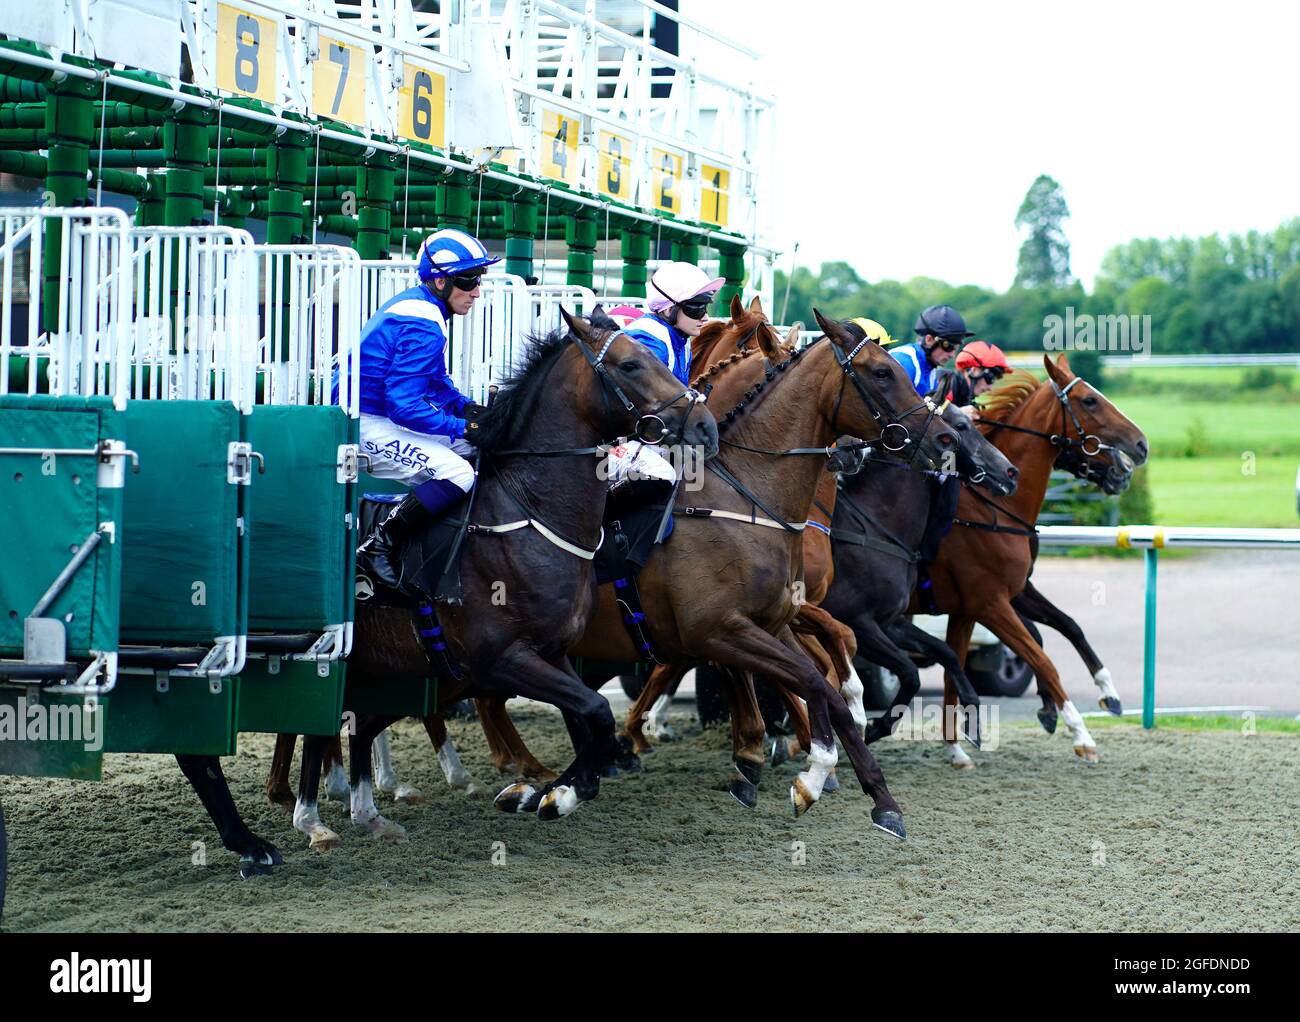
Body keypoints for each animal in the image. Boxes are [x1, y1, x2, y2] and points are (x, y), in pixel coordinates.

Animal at [291, 315, 728, 842]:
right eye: (630, 363)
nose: (705, 425)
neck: (529, 512)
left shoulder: (553, 650)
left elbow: (588, 716)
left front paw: (557, 789)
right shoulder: (500, 659)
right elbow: (595, 710)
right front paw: (558, 791)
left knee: (353, 722)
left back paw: (362, 810)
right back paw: (310, 817)